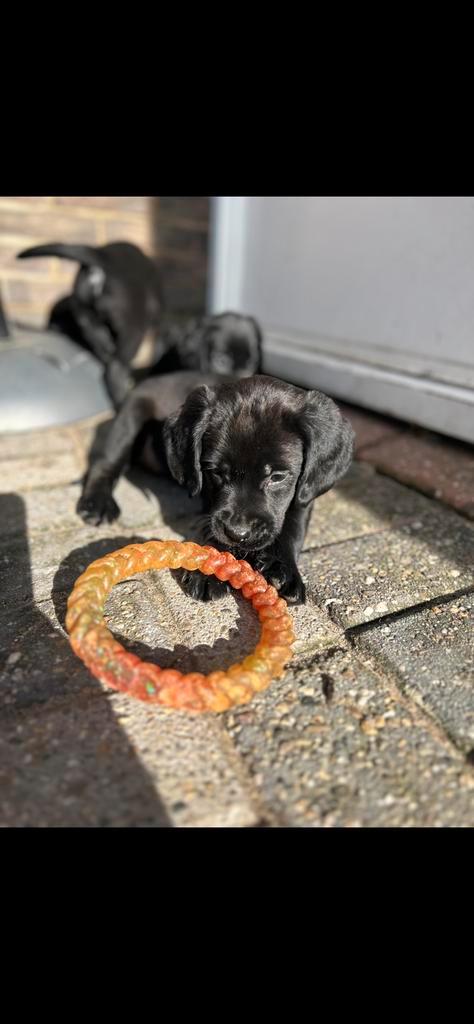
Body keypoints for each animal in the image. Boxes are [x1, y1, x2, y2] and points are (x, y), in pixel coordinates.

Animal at [17, 241, 163, 405]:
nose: (54, 327)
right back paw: (122, 396)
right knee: (116, 367)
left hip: (88, 320)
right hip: (133, 328)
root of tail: (103, 255)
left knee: (106, 353)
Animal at [76, 372, 352, 602]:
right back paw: (97, 503)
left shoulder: (305, 492)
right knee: (105, 463)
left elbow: (292, 528)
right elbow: (213, 526)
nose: (238, 534)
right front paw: (213, 571)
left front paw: (283, 570)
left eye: (277, 476)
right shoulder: (210, 502)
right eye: (216, 472)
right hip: (130, 417)